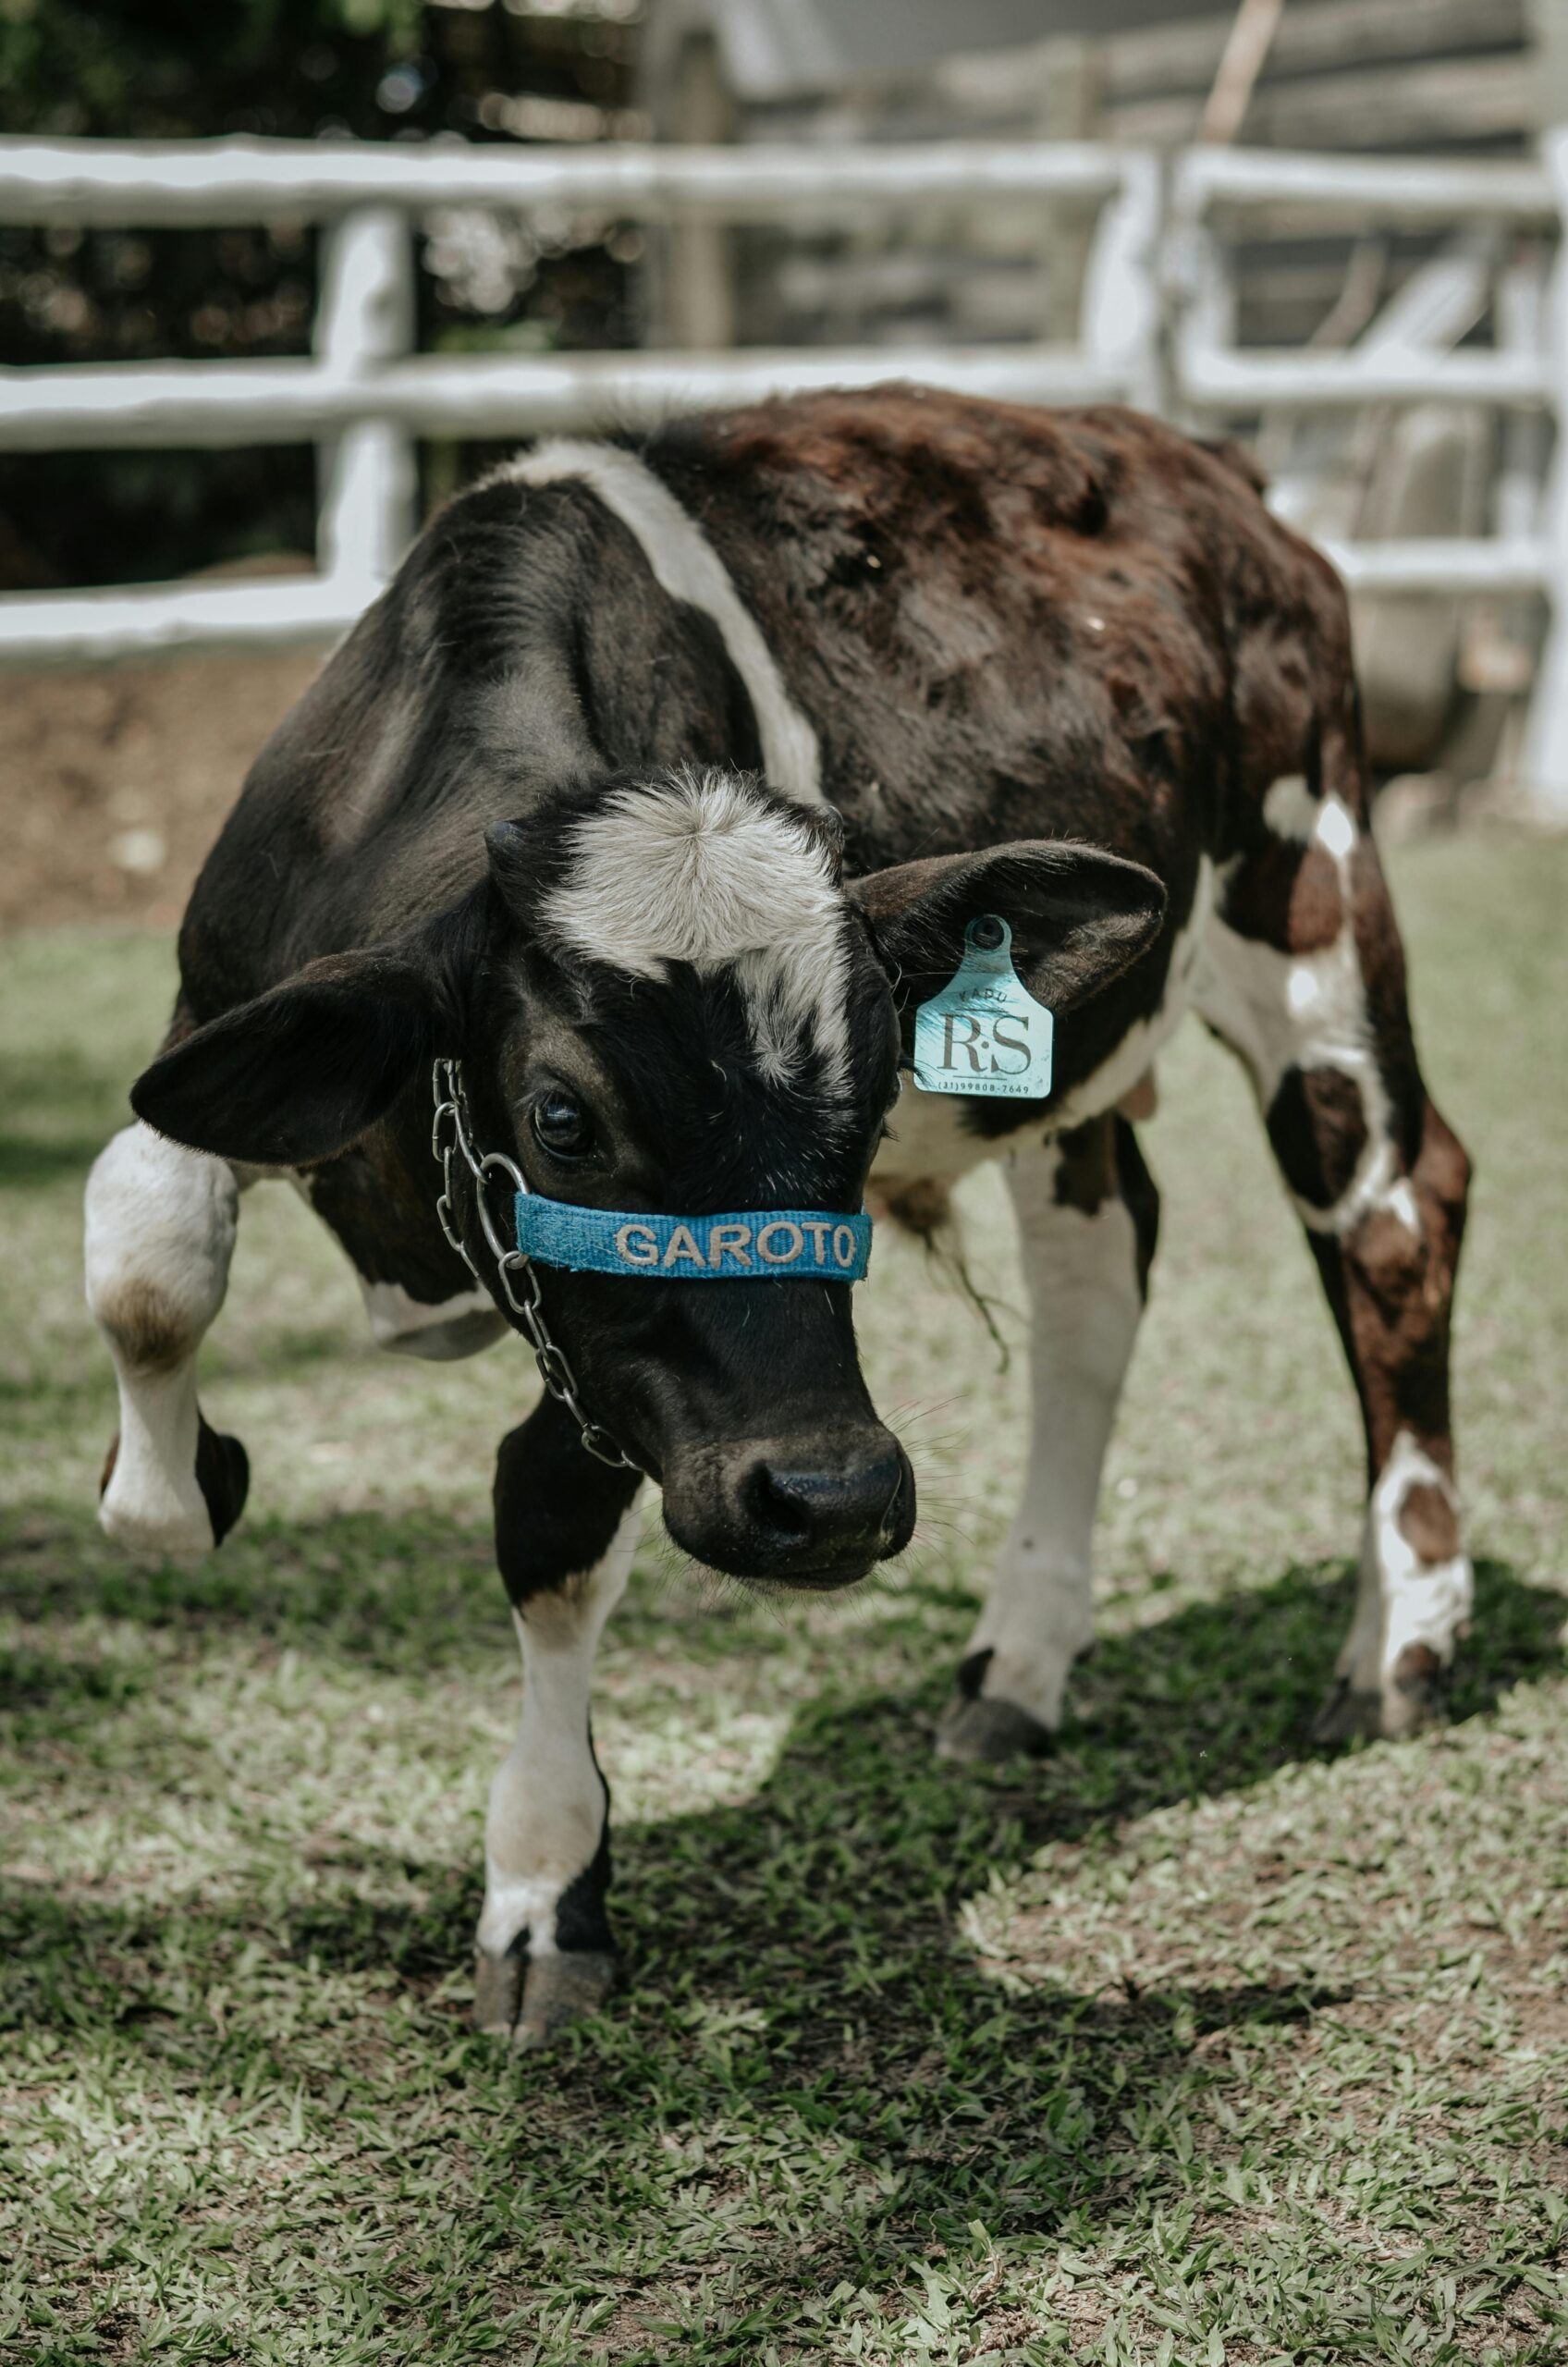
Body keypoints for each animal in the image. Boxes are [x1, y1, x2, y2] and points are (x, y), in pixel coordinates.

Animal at [84, 390, 1472, 2049]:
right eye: (563, 1116)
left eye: (870, 1103)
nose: (837, 1498)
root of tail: (1190, 450)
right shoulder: (228, 1012)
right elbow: (145, 1255)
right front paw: (177, 1480)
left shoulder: (620, 1367)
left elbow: (549, 1517)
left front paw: (545, 1885)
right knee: (1098, 1282)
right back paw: (1024, 1663)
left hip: (1313, 901)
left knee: (1394, 1215)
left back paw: (1401, 1644)